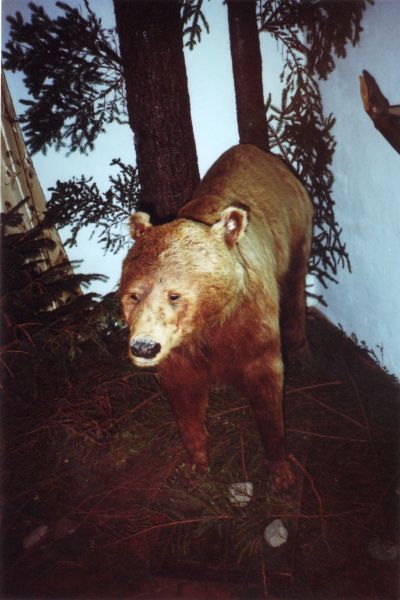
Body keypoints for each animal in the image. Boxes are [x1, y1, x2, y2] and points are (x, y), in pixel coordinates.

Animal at [120, 144, 314, 488]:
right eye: (133, 294)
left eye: (174, 294)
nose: (143, 347)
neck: (211, 322)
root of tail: (260, 152)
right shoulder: (181, 352)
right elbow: (185, 400)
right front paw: (197, 464)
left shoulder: (251, 327)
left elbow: (268, 390)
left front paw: (280, 469)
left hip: (297, 225)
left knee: (295, 287)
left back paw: (301, 350)